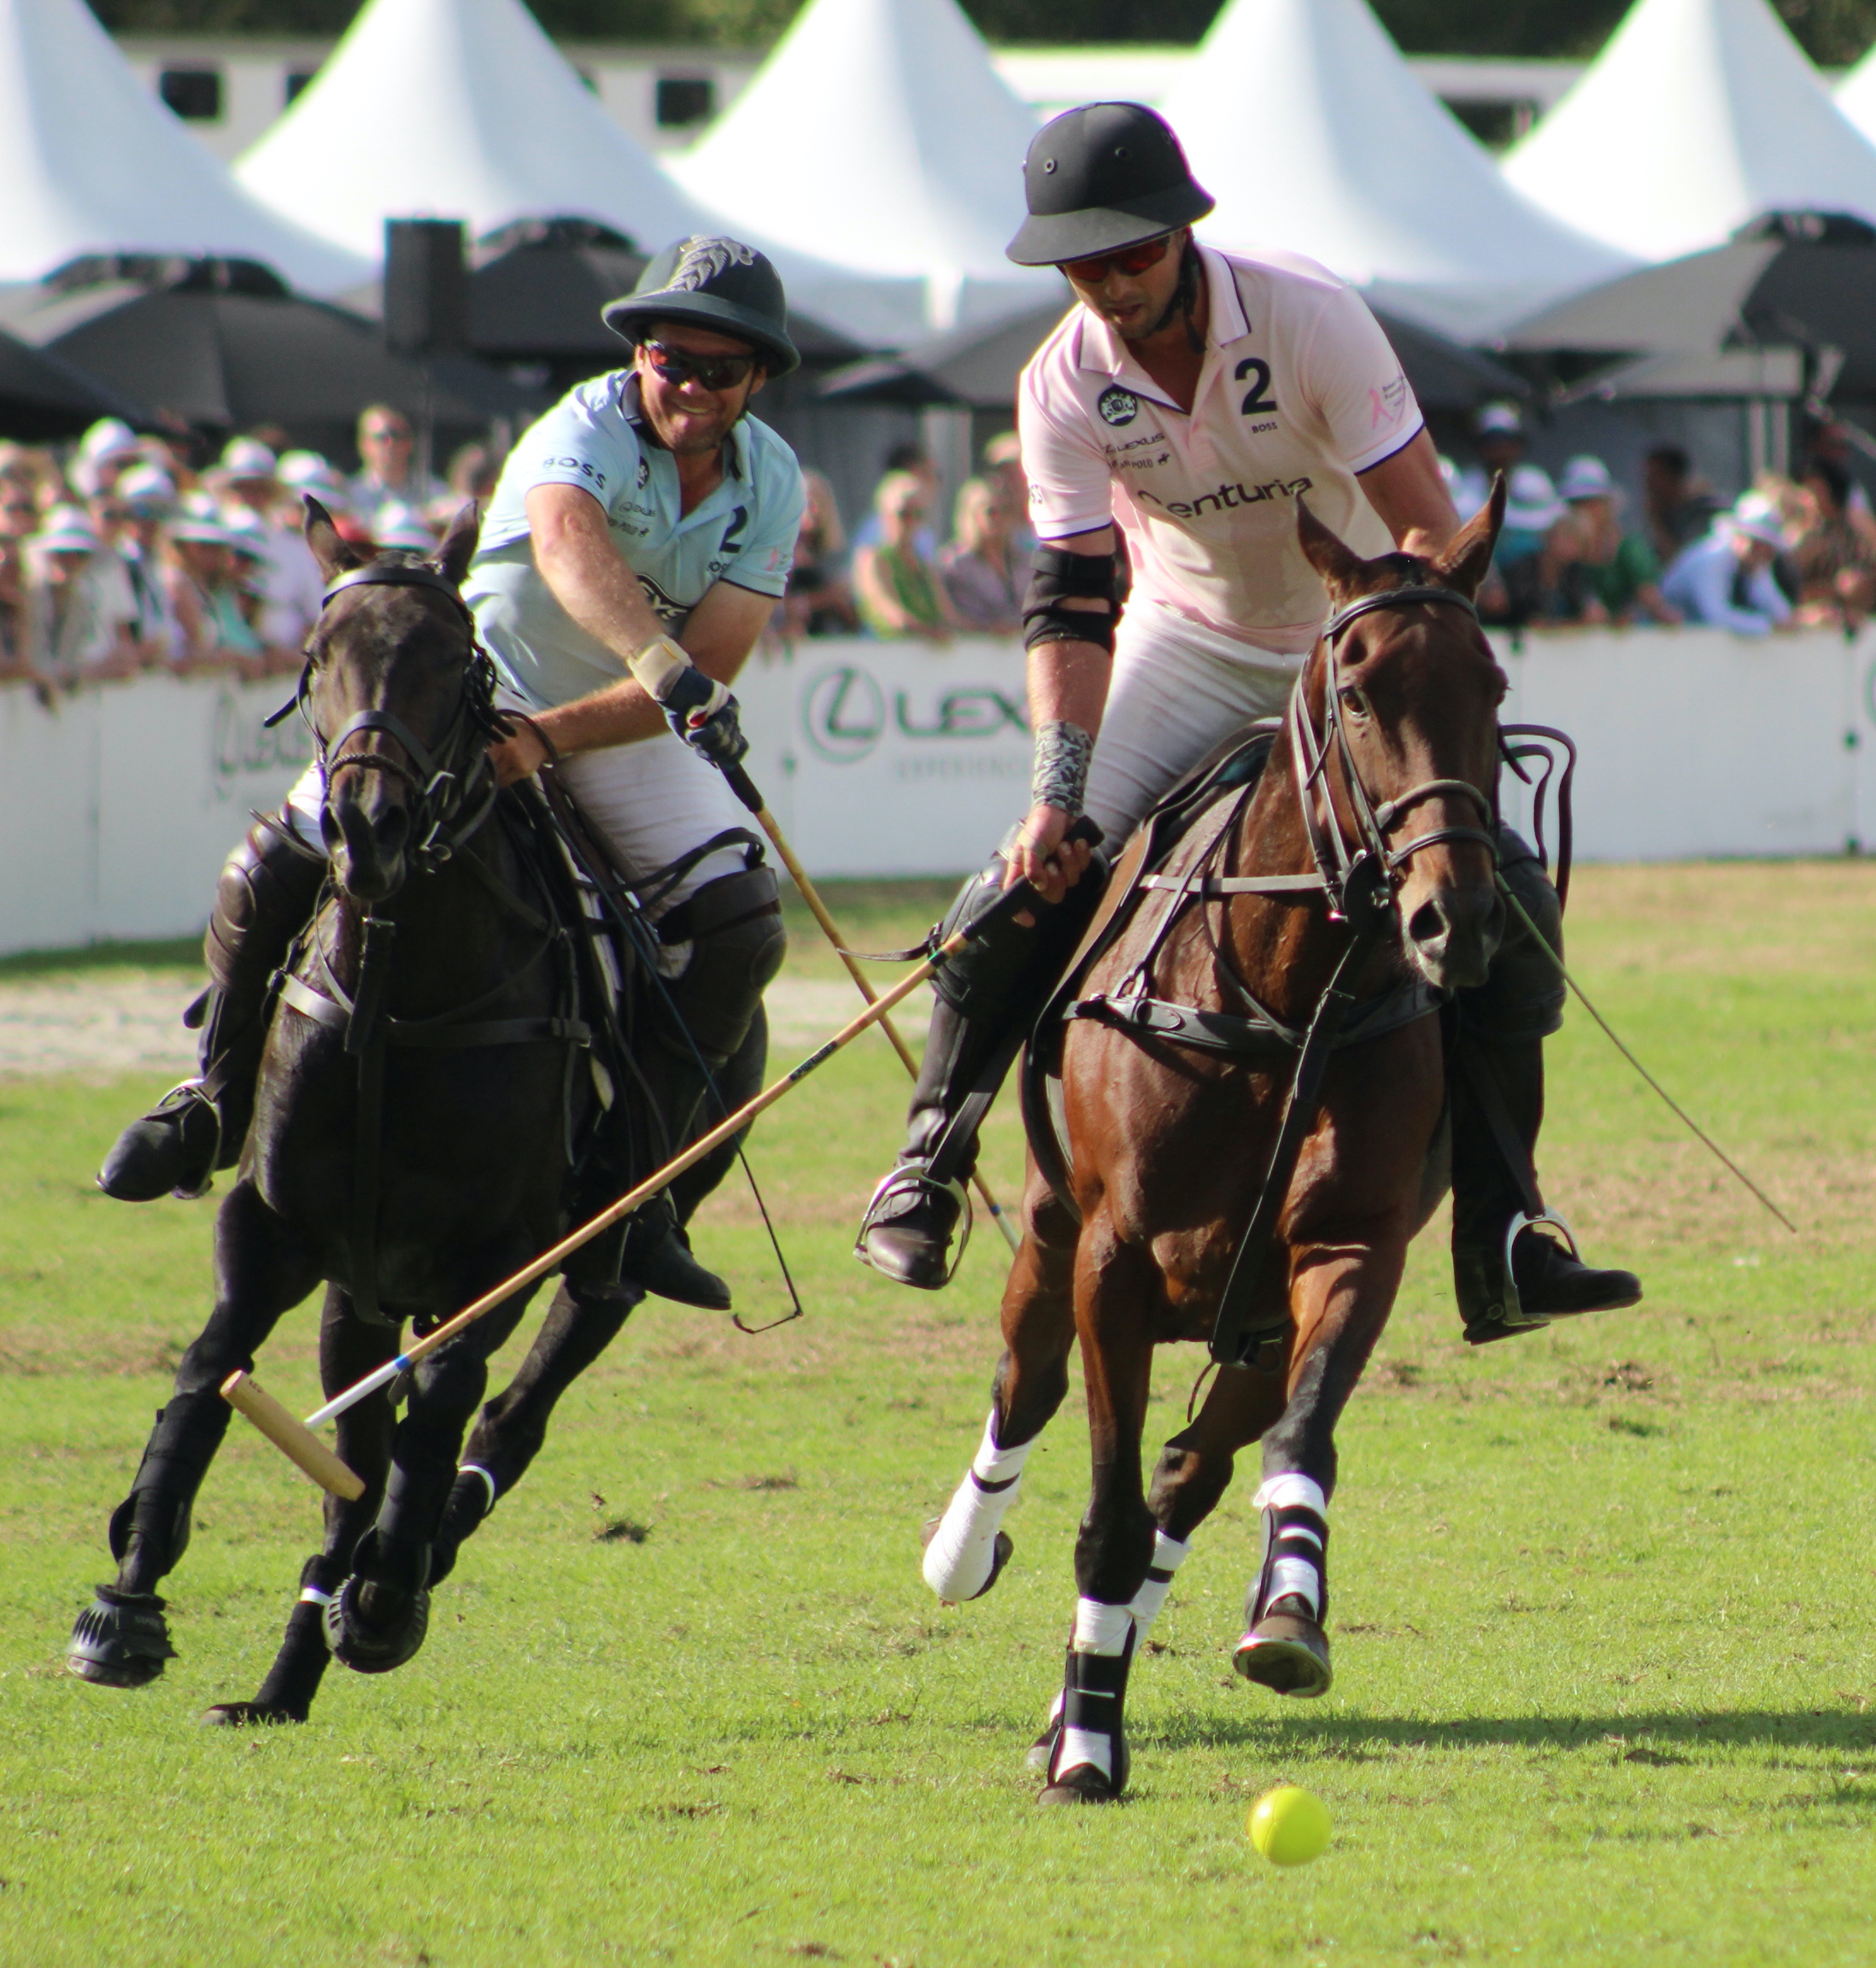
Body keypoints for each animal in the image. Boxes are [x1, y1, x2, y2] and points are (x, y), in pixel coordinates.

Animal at [66, 503, 681, 1724]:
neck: (403, 997)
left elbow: (439, 1404)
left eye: (456, 661)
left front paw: (390, 1594)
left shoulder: (503, 1251)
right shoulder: (277, 1221)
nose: (369, 826)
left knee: (514, 1394)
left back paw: (396, 1566)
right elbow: (210, 1365)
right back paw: (285, 1672)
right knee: (352, 1438)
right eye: (318, 658)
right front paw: (128, 1595)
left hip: (602, 1246)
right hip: (362, 1281)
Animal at [921, 488, 1519, 1802]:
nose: (1454, 919)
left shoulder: (1348, 1253)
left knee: (1189, 1471)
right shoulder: (1115, 1264)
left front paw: (1289, 1609)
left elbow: (1289, 1443)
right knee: (1025, 1383)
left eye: (1493, 684)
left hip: (1248, 1322)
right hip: (1049, 1234)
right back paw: (964, 1554)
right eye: (1358, 692)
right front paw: (1089, 1751)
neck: (1282, 998)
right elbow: (1103, 1513)